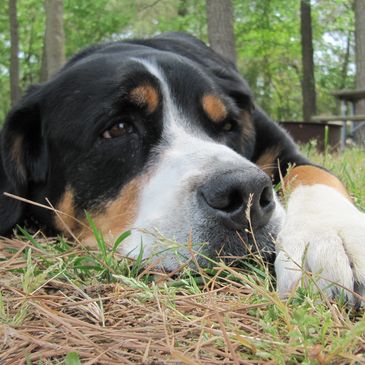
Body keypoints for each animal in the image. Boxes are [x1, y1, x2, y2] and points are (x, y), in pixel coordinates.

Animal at [0, 33, 364, 302]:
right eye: (117, 128)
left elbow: (313, 174)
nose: (245, 191)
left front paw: (330, 235)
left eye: (228, 125)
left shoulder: (283, 148)